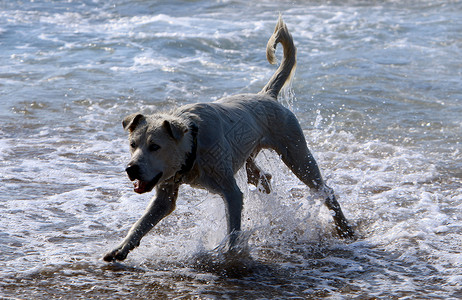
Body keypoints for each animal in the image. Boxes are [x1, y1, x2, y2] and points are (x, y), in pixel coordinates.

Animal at [104, 15, 354, 262]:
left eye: (155, 146)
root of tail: (267, 95)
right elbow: (141, 223)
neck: (193, 145)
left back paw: (345, 229)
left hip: (297, 155)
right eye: (132, 145)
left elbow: (233, 230)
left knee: (325, 190)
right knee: (261, 177)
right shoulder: (165, 193)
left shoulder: (231, 193)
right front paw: (121, 248)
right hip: (253, 157)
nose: (130, 169)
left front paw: (232, 255)